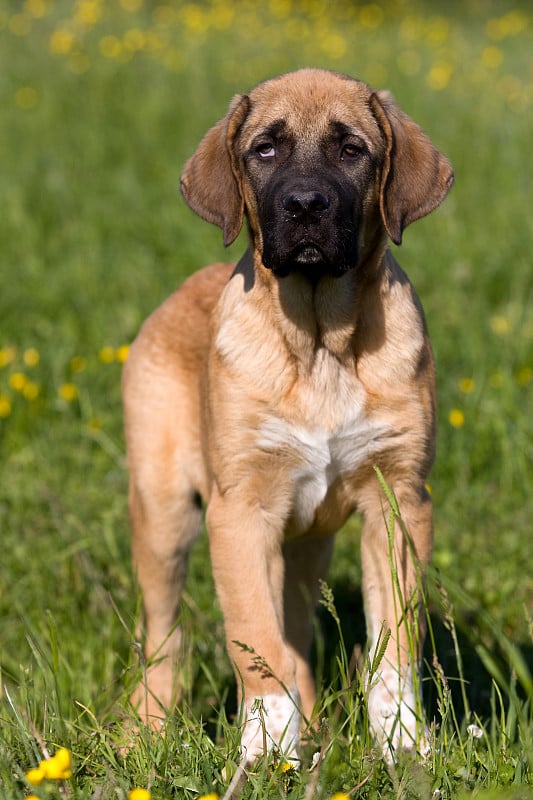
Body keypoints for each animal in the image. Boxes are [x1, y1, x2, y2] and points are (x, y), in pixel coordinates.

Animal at [121, 69, 454, 764]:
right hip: (165, 512)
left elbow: (394, 644)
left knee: (296, 635)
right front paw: (267, 751)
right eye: (264, 149)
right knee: (164, 634)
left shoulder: (399, 501)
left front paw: (404, 746)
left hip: (305, 544)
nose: (304, 206)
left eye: (352, 150)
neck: (321, 342)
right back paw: (147, 730)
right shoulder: (240, 512)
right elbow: (255, 639)